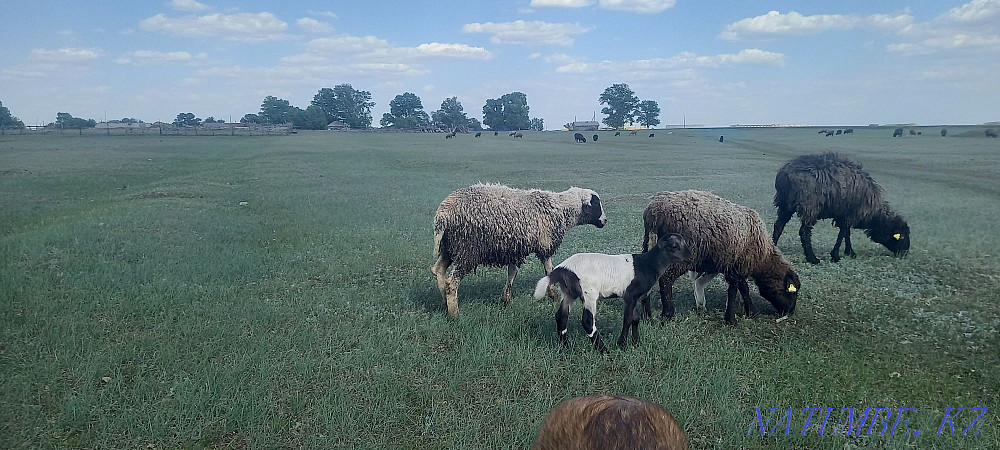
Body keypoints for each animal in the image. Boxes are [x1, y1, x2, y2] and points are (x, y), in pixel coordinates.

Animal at [432, 183, 607, 317]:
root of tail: (443, 214)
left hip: (449, 247)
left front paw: (506, 300)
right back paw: (454, 314)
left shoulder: (516, 249)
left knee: (438, 270)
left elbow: (512, 273)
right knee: (451, 282)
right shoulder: (544, 244)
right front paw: (553, 295)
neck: (560, 209)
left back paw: (445, 301)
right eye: (596, 203)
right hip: (468, 250)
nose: (605, 221)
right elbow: (549, 269)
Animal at [533, 234, 690, 351]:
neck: (648, 264)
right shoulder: (630, 294)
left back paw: (565, 347)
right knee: (588, 321)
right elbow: (628, 319)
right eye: (674, 246)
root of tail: (563, 269)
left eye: (686, 243)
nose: (690, 257)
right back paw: (603, 350)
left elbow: (635, 318)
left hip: (568, 292)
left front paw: (636, 343)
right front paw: (622, 345)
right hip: (589, 292)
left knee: (561, 316)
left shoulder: (633, 297)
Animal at [642, 190, 800, 324]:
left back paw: (647, 314)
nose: (790, 312)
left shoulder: (737, 265)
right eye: (791, 292)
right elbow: (734, 290)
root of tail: (654, 212)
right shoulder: (737, 266)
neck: (763, 256)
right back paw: (667, 313)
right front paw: (731, 319)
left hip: (649, 243)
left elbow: (743, 288)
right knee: (666, 278)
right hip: (680, 255)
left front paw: (752, 312)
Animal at [773, 152, 910, 264]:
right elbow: (843, 233)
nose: (905, 253)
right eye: (903, 236)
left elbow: (846, 234)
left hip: (785, 204)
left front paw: (850, 252)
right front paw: (836, 255)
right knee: (804, 232)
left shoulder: (844, 214)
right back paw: (813, 258)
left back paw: (773, 247)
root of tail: (785, 174)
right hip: (809, 206)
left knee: (778, 225)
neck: (874, 214)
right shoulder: (850, 214)